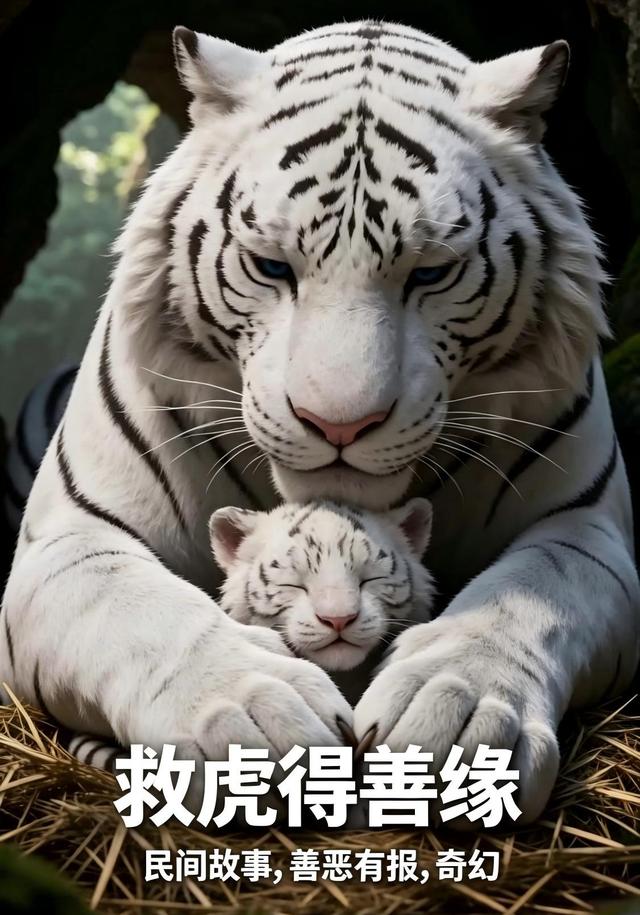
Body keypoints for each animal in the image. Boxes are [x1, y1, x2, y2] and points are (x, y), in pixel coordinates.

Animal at [1, 19, 638, 827]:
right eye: (272, 266)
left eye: (431, 272)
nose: (340, 424)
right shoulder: (68, 541)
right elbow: (138, 610)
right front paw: (249, 714)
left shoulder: (585, 529)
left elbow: (528, 599)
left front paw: (458, 714)